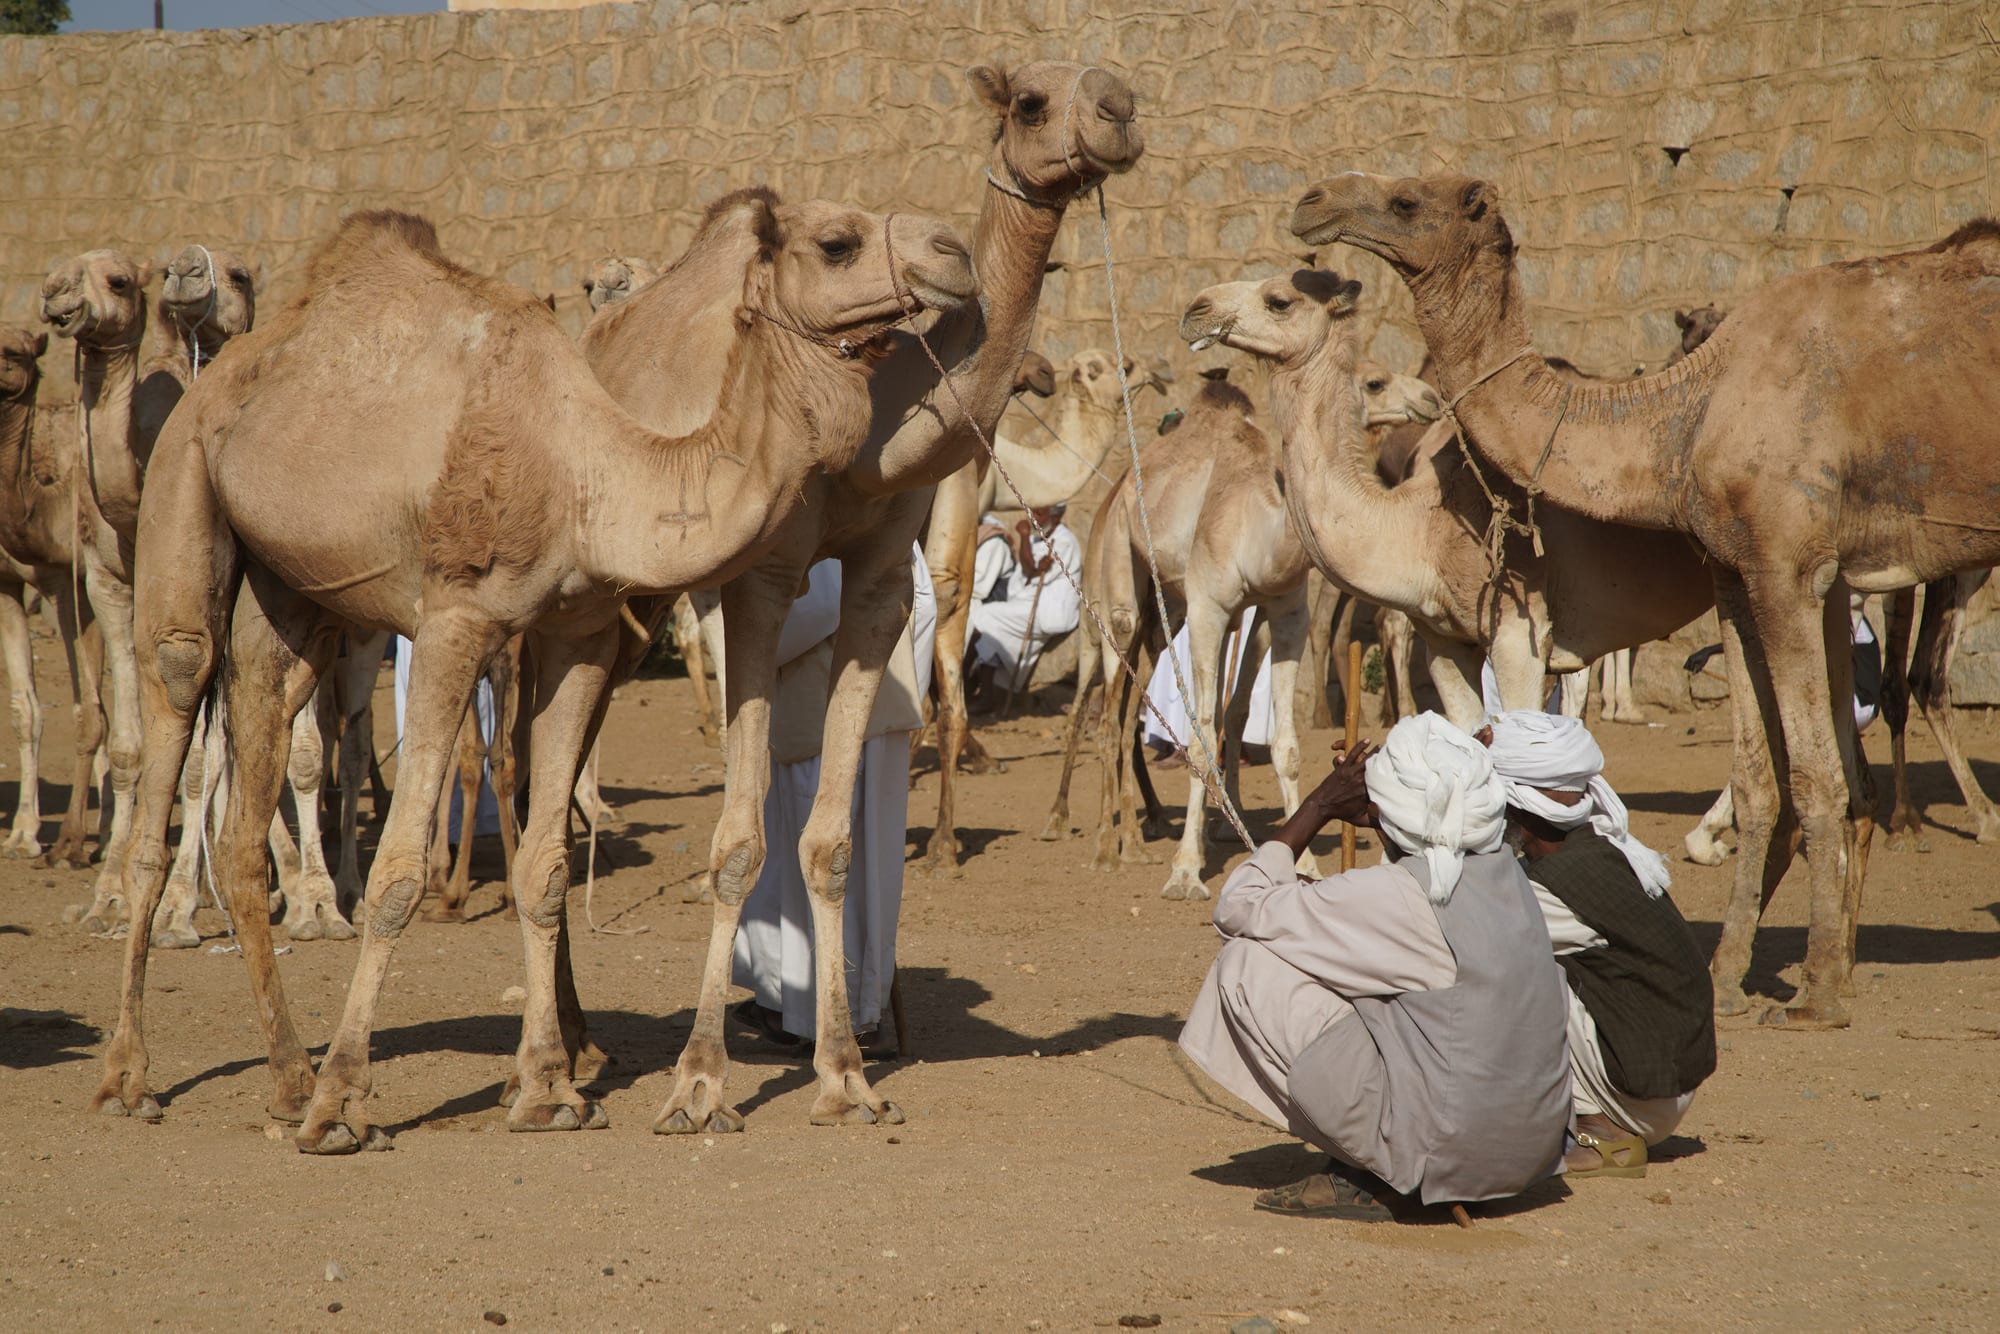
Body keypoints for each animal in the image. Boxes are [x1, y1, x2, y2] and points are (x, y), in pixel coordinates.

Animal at [90, 198, 975, 1149]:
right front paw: (344, 1105)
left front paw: (549, 1090)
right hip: (183, 491)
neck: (583, 476)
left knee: (248, 802)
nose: (954, 252)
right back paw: (135, 1077)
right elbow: (399, 870)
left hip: (288, 598)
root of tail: (218, 382)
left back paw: (288, 1079)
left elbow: (545, 863)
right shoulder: (453, 622)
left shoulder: (578, 629)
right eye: (837, 242)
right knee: (174, 705)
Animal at [580, 61, 1141, 1135]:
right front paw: (698, 1079)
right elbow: (738, 837)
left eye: (1114, 87)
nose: (1120, 109)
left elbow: (832, 839)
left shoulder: (884, 575)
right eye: (1030, 103)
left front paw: (843, 1070)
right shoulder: (760, 580)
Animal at [1293, 171, 2000, 1027]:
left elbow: (1810, 774)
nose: (1311, 201)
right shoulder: (1737, 570)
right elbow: (1763, 779)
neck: (1681, 412)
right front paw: (1731, 980)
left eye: (1406, 201)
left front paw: (1817, 995)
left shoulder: (1786, 562)